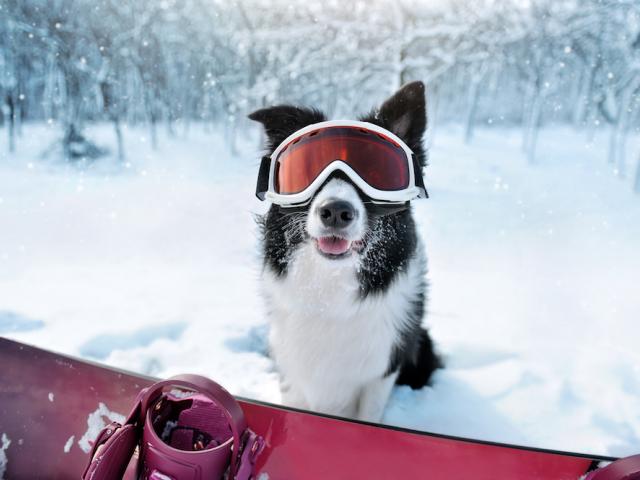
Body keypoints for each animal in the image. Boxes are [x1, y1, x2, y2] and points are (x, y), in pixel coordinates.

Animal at [249, 82, 440, 424]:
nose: (336, 212)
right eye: (305, 168)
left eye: (377, 169)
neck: (329, 291)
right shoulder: (292, 368)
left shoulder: (382, 370)